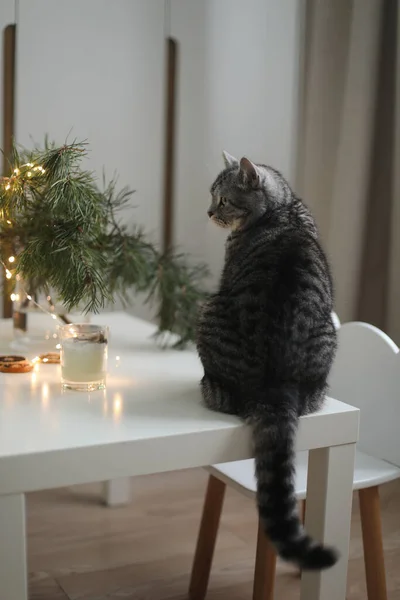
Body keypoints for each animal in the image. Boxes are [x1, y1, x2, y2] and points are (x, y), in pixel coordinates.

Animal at [196, 152, 338, 568]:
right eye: (212, 197)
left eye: (224, 200)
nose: (209, 212)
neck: (282, 210)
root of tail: (275, 384)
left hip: (207, 308)